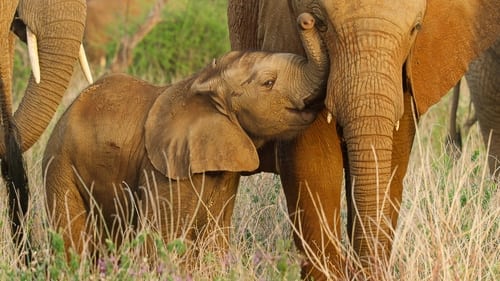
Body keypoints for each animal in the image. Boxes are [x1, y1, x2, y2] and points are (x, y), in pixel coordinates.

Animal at [43, 13, 328, 258]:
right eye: (268, 83)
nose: (307, 19)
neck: (203, 82)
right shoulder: (163, 170)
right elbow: (162, 239)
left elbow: (213, 236)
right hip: (60, 164)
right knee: (70, 237)